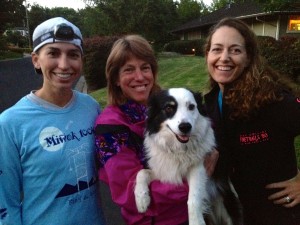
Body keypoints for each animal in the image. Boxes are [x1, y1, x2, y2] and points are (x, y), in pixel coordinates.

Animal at [135, 88, 243, 225]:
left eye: (191, 106)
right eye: (169, 108)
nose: (185, 127)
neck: (179, 149)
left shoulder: (200, 166)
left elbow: (193, 198)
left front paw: (196, 221)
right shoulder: (166, 172)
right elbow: (142, 172)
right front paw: (141, 200)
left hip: (226, 204)